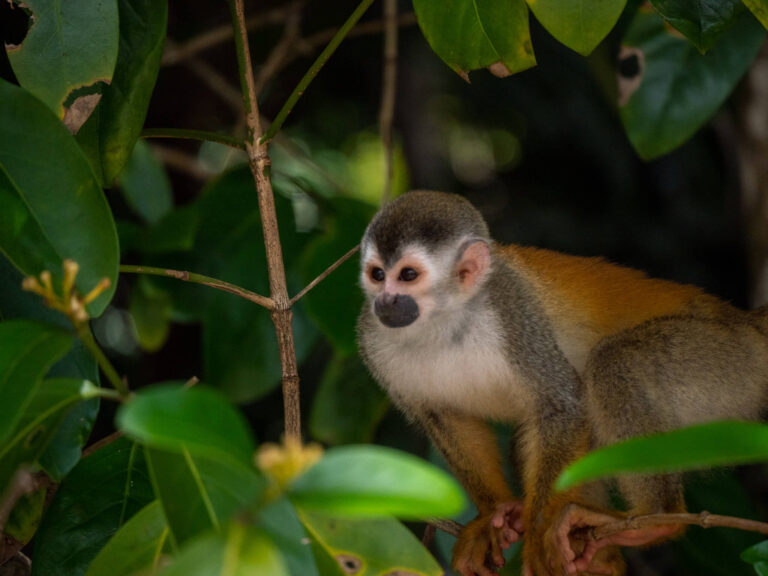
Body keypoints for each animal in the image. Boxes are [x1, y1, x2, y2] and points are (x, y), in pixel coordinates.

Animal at [356, 190, 768, 576]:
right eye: (377, 275)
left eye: (408, 275)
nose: (386, 301)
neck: (445, 319)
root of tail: (744, 323)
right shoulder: (371, 341)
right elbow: (444, 416)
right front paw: (493, 517)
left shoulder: (514, 312)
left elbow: (561, 404)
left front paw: (538, 533)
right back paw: (600, 557)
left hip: (724, 362)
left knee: (614, 363)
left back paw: (653, 519)